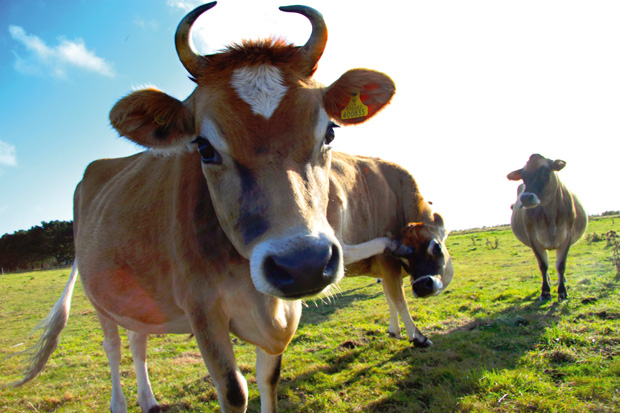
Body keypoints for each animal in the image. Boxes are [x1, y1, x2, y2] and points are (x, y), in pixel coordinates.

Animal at [10, 4, 398, 412]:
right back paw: (120, 401)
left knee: (137, 340)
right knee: (113, 346)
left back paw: (148, 400)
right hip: (100, 297)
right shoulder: (202, 311)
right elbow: (233, 390)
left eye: (330, 132)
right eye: (204, 147)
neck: (259, 296)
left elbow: (269, 379)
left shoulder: (282, 314)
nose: (303, 264)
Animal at [326, 151, 452, 344]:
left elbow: (390, 297)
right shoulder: (387, 263)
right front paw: (418, 337)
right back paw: (389, 243)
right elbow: (400, 299)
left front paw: (394, 330)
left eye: (437, 248)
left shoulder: (386, 271)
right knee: (340, 249)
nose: (422, 286)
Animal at [506, 153, 588, 300]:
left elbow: (561, 265)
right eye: (523, 177)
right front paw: (545, 291)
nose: (525, 197)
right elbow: (543, 266)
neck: (550, 214)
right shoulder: (533, 239)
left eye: (546, 172)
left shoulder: (567, 237)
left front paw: (562, 291)